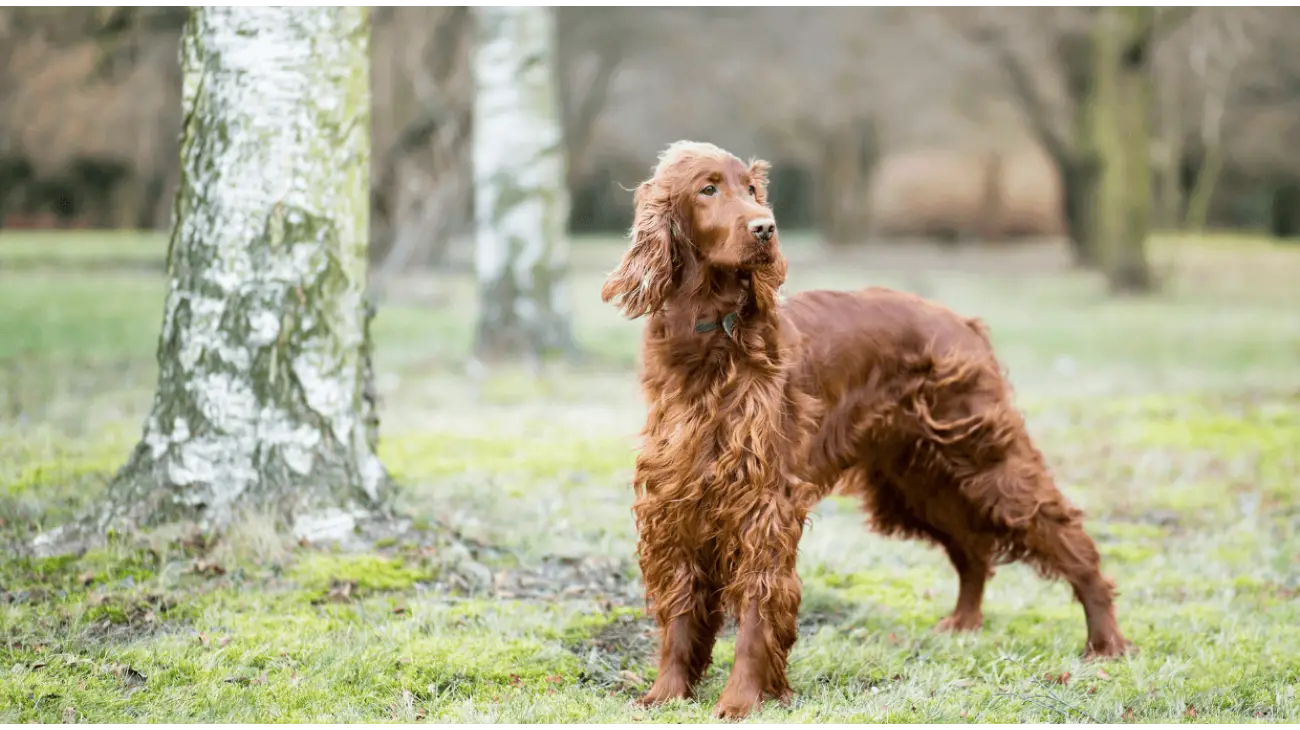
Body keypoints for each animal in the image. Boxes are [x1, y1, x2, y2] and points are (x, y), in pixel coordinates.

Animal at [600, 142, 1128, 717]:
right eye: (708, 189)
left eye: (753, 190)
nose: (766, 227)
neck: (711, 340)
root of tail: (962, 323)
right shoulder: (676, 499)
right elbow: (679, 611)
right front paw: (667, 693)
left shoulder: (764, 503)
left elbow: (758, 608)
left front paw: (742, 700)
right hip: (918, 482)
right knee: (972, 550)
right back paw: (964, 624)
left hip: (988, 461)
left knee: (1066, 536)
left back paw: (1106, 641)